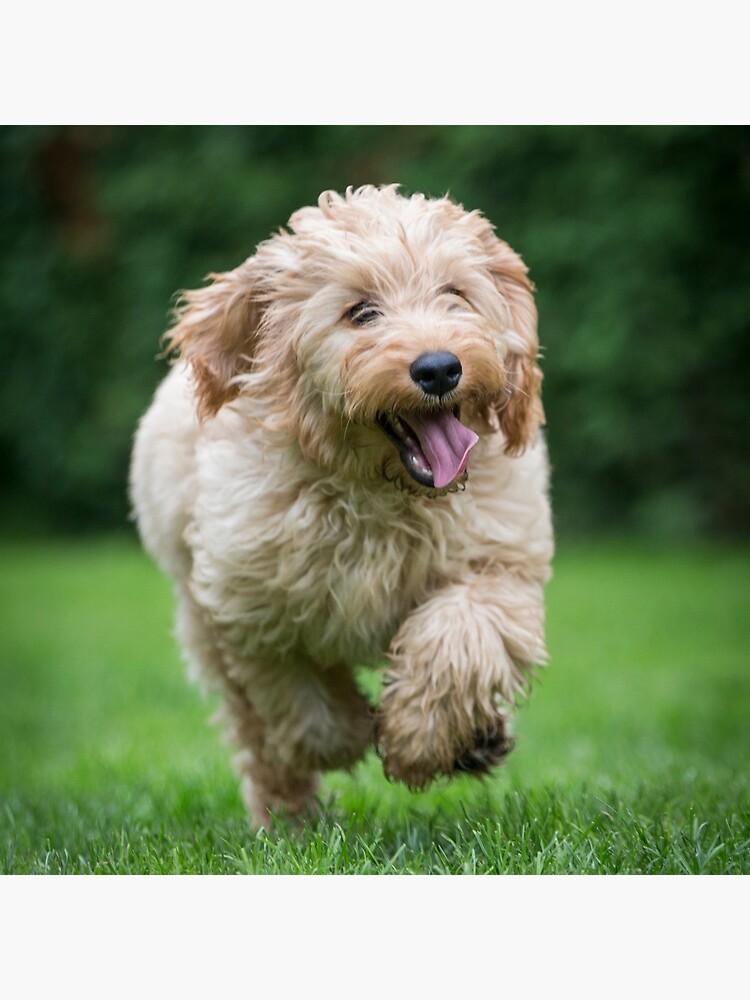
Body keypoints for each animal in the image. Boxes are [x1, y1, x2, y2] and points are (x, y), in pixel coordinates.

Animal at [129, 186, 556, 828]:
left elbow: (458, 637)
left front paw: (420, 741)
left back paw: (477, 740)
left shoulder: (497, 565)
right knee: (257, 736)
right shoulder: (251, 609)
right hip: (201, 617)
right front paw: (356, 731)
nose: (439, 368)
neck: (382, 494)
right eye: (361, 312)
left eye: (455, 294)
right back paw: (287, 822)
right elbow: (307, 711)